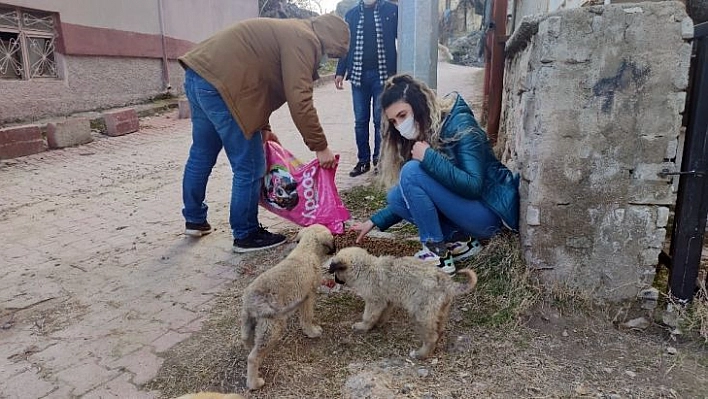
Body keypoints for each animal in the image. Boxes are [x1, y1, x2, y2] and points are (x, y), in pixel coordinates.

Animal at [241, 225, 334, 390]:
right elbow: (307, 317)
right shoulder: (308, 296)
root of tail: (252, 302)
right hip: (272, 327)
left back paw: (251, 347)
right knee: (253, 358)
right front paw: (312, 332)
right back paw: (255, 383)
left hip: (249, 320)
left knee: (246, 339)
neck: (306, 249)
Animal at [326, 247, 476, 360]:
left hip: (422, 314)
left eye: (335, 272)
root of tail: (447, 283)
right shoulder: (387, 301)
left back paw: (421, 354)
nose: (334, 279)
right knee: (438, 330)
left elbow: (368, 316)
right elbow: (382, 315)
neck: (366, 267)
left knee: (431, 337)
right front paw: (378, 324)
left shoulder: (374, 301)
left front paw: (363, 326)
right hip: (440, 311)